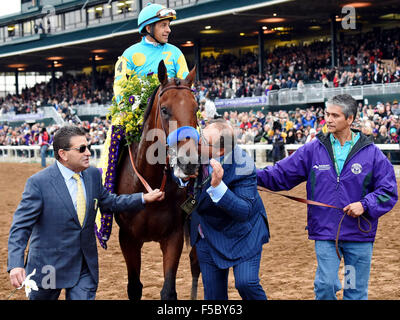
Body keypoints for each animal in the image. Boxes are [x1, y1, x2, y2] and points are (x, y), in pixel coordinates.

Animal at [114, 60, 202, 300]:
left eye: (196, 109)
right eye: (164, 110)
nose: (189, 163)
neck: (150, 183)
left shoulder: (174, 236)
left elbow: (169, 290)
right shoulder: (127, 239)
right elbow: (134, 287)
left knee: (196, 264)